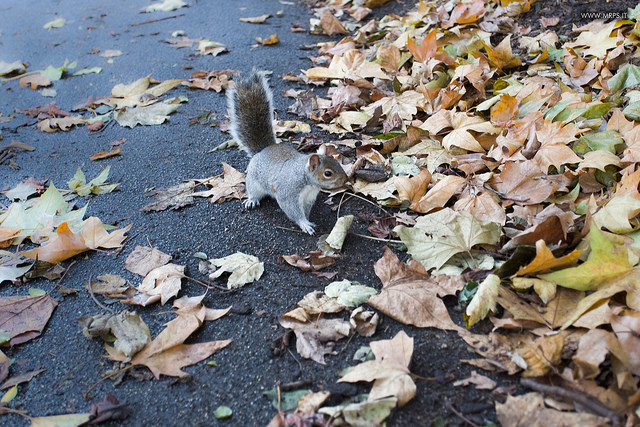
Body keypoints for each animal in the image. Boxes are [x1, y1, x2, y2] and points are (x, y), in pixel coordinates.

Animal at [225, 71, 344, 236]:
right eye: (328, 173)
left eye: (338, 162)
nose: (345, 180)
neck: (306, 180)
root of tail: (263, 150)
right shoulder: (288, 192)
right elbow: (293, 210)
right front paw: (304, 224)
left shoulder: (309, 197)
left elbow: (305, 209)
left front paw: (308, 220)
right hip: (254, 181)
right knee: (253, 190)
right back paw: (252, 199)